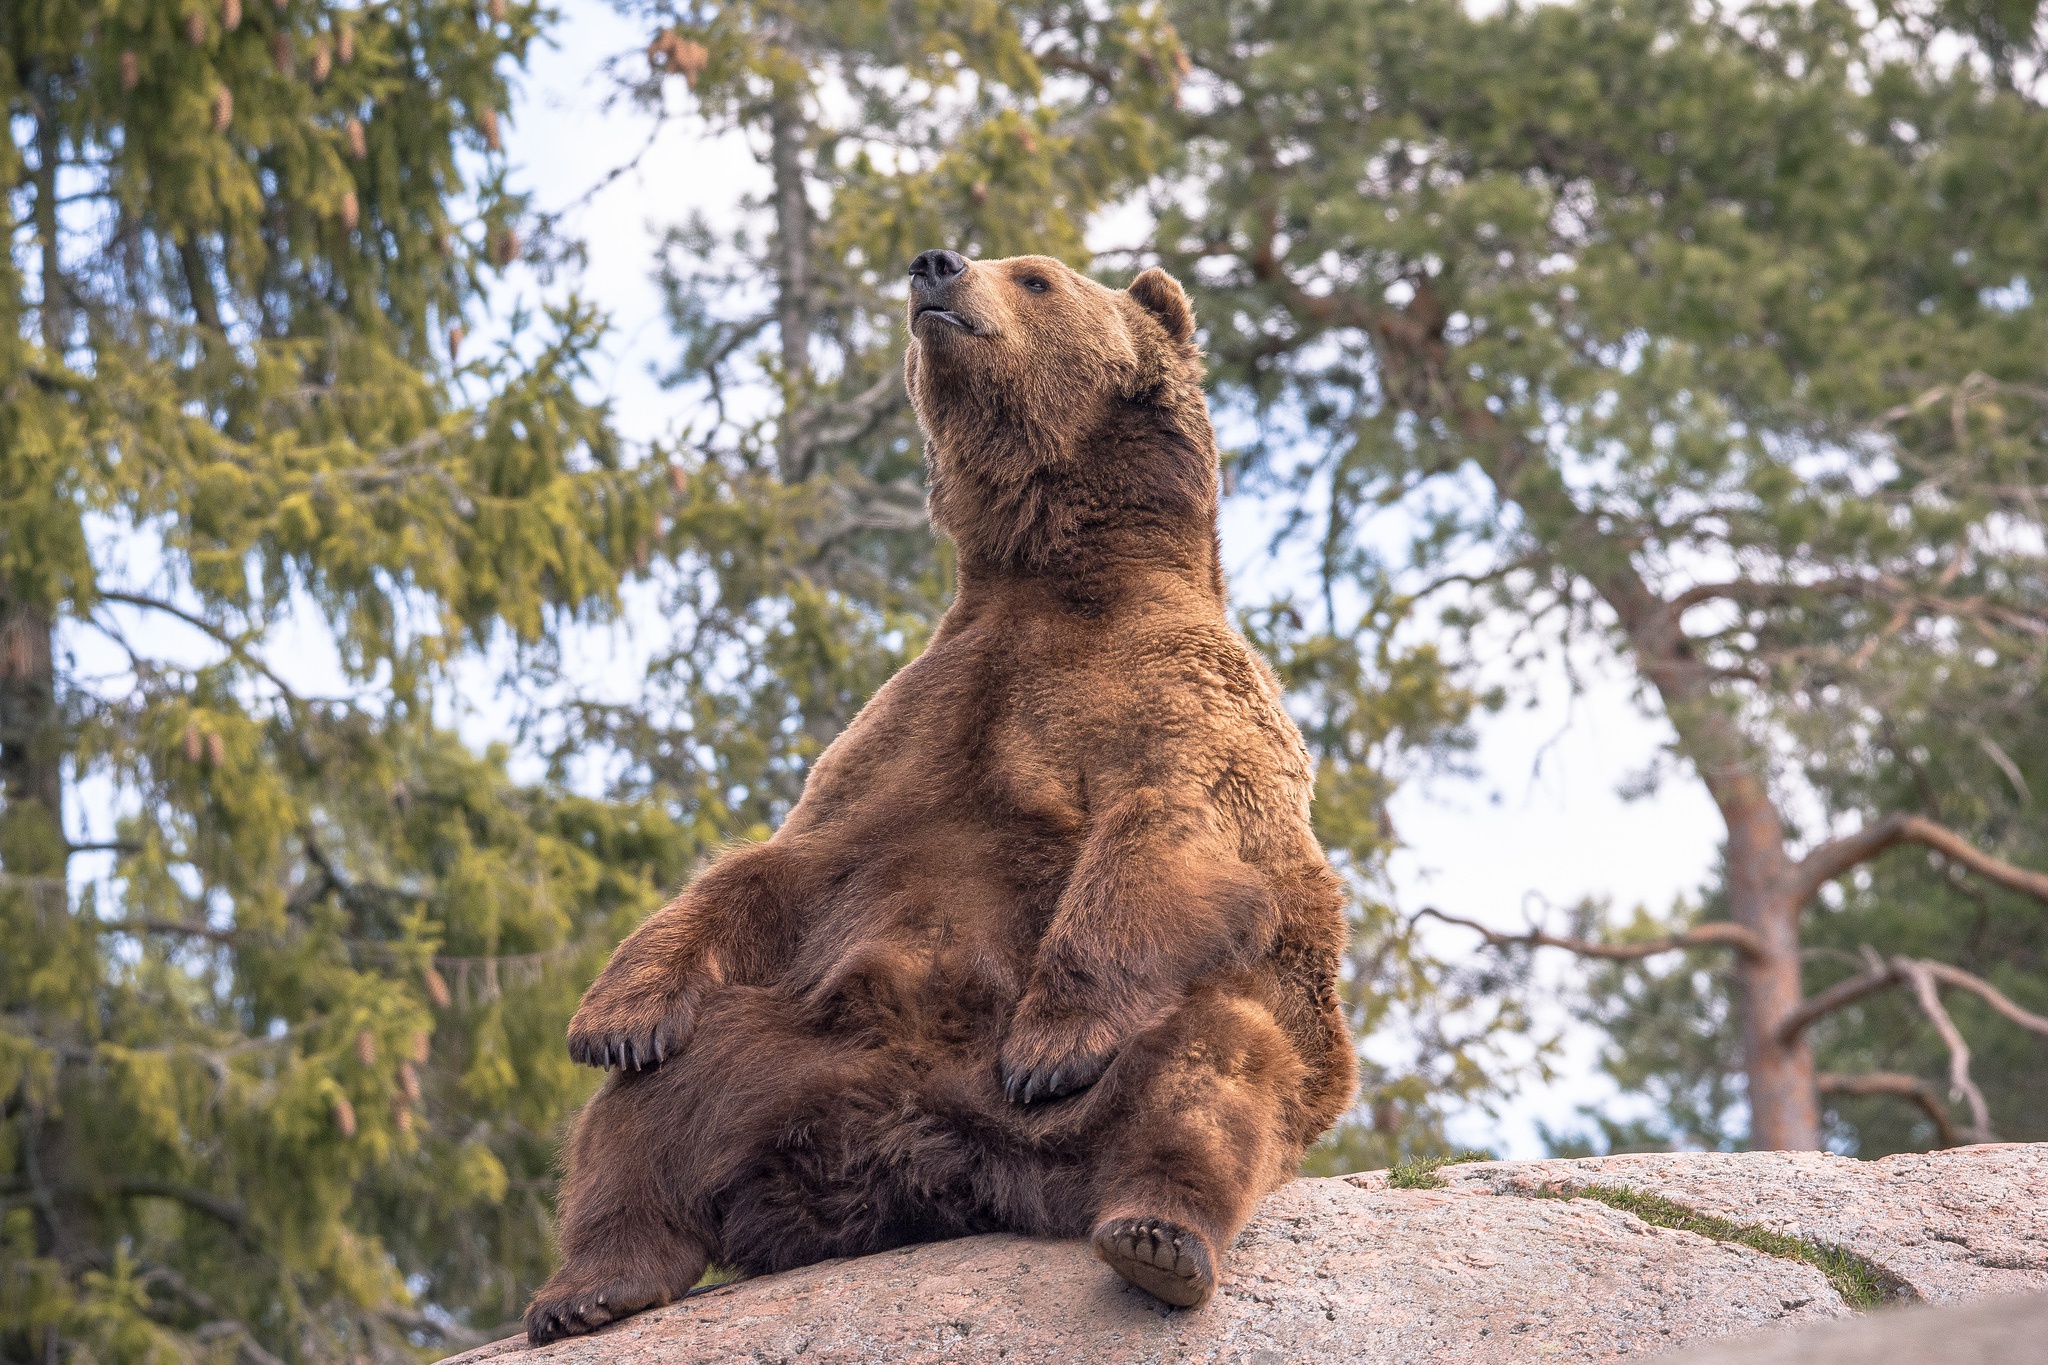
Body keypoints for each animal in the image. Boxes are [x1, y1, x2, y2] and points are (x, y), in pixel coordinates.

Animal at [524, 248, 1359, 1342]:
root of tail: (925, 1162)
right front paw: (611, 1015)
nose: (935, 265)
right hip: (776, 1055)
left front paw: (1051, 1042)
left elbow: (1177, 829)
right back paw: (590, 1285)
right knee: (645, 1111)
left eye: (1037, 276)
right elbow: (784, 863)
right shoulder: (923, 709)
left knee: (1216, 1062)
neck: (1048, 566)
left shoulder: (1181, 693)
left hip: (1131, 1083)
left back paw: (1157, 1235)